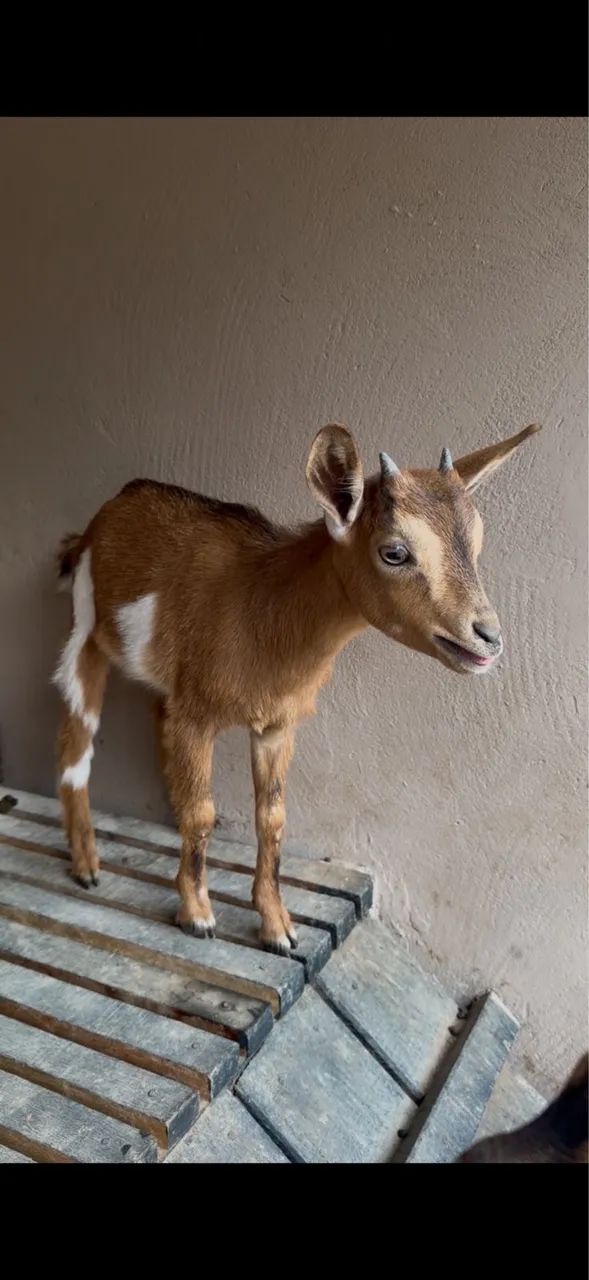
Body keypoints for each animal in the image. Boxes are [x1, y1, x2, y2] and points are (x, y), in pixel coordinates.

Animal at [53, 422, 540, 952]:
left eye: (476, 542)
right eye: (394, 552)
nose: (488, 637)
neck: (262, 606)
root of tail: (99, 521)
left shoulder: (277, 725)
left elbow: (273, 818)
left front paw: (277, 926)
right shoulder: (196, 716)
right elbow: (203, 811)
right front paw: (197, 914)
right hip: (85, 630)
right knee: (75, 745)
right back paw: (86, 865)